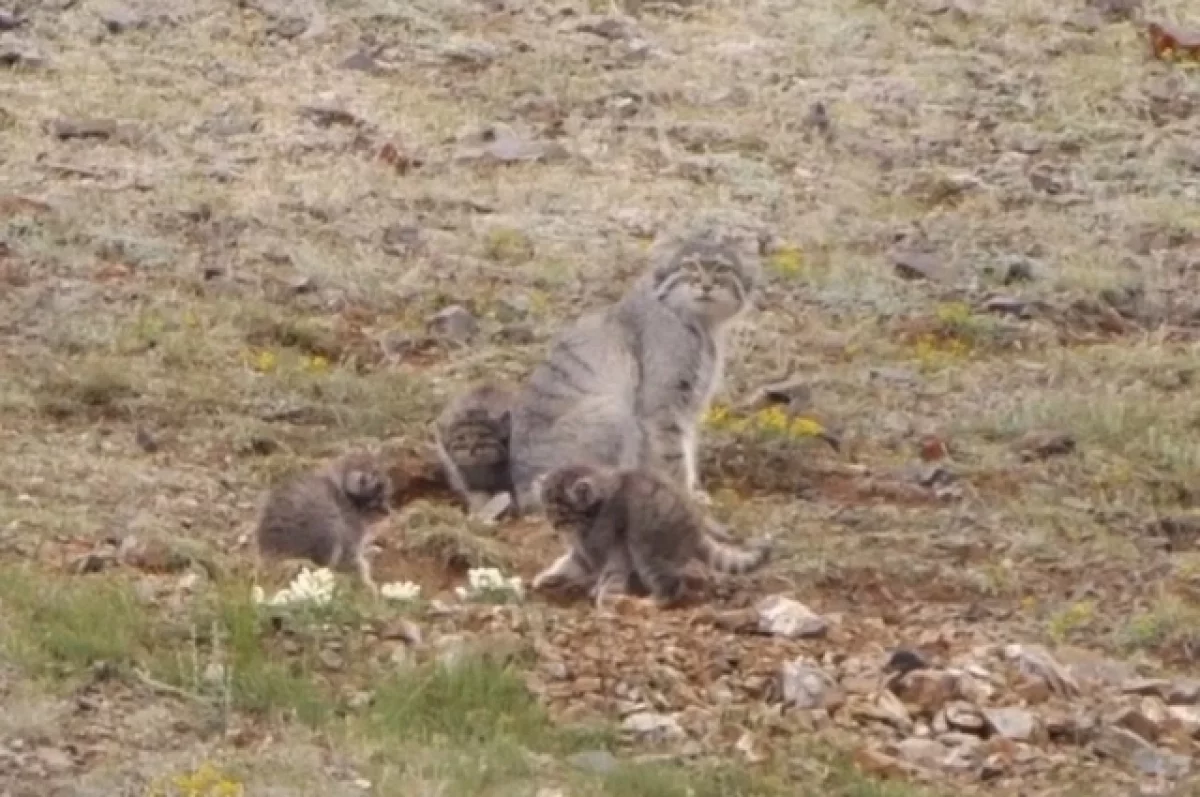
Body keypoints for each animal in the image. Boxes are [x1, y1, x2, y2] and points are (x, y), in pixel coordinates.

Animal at [508, 229, 758, 516]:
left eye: (721, 268)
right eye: (689, 267)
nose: (706, 285)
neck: (701, 326)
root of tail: (523, 495)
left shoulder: (689, 405)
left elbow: (688, 448)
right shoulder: (662, 405)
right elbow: (673, 456)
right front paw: (685, 498)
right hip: (614, 413)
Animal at [530, 460, 772, 609]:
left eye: (561, 512)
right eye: (547, 509)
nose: (554, 527)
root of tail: (695, 527)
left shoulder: (615, 548)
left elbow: (611, 574)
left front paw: (606, 600)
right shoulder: (584, 552)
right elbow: (570, 563)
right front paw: (549, 575)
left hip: (648, 548)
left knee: (671, 584)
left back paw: (650, 602)